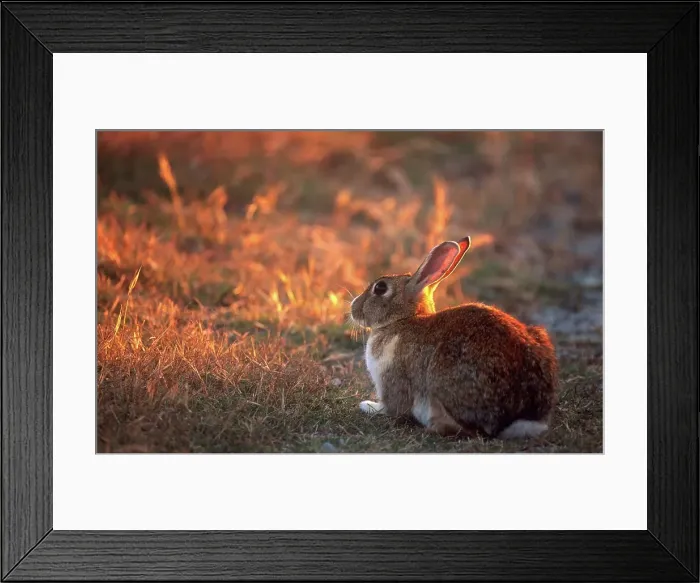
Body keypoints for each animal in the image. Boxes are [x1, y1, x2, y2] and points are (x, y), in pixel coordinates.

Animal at [350, 236, 559, 440]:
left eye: (380, 288)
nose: (353, 307)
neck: (403, 319)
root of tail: (521, 417)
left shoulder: (392, 379)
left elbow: (393, 408)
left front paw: (368, 406)